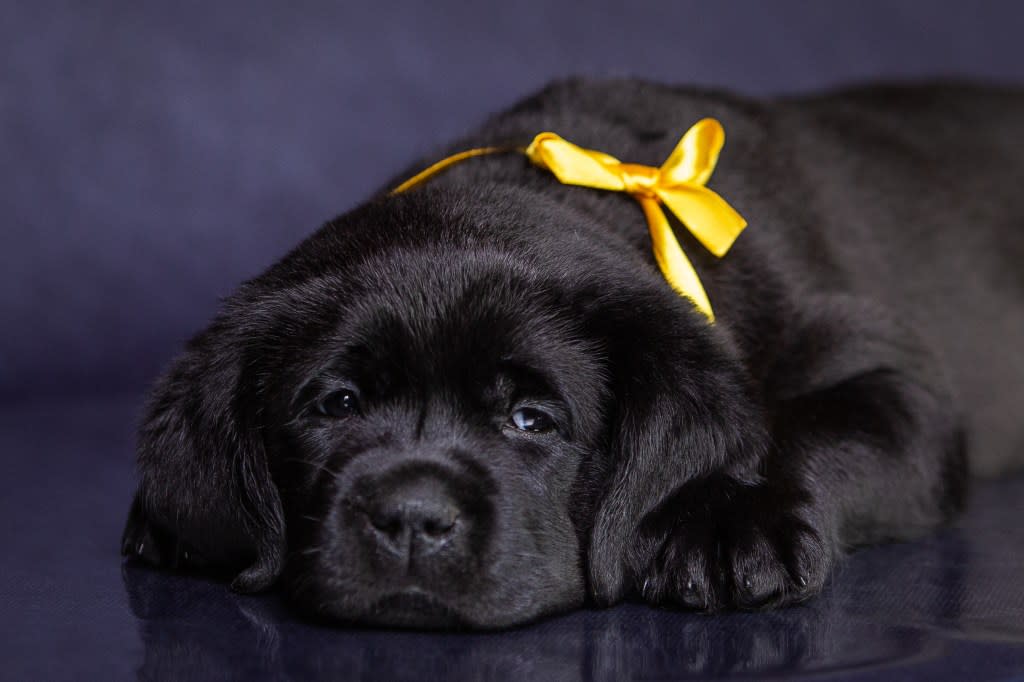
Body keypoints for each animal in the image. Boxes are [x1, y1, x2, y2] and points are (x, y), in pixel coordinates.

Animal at [123, 78, 1024, 626]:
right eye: (336, 405)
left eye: (532, 419)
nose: (413, 517)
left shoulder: (894, 374)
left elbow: (807, 427)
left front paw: (731, 521)